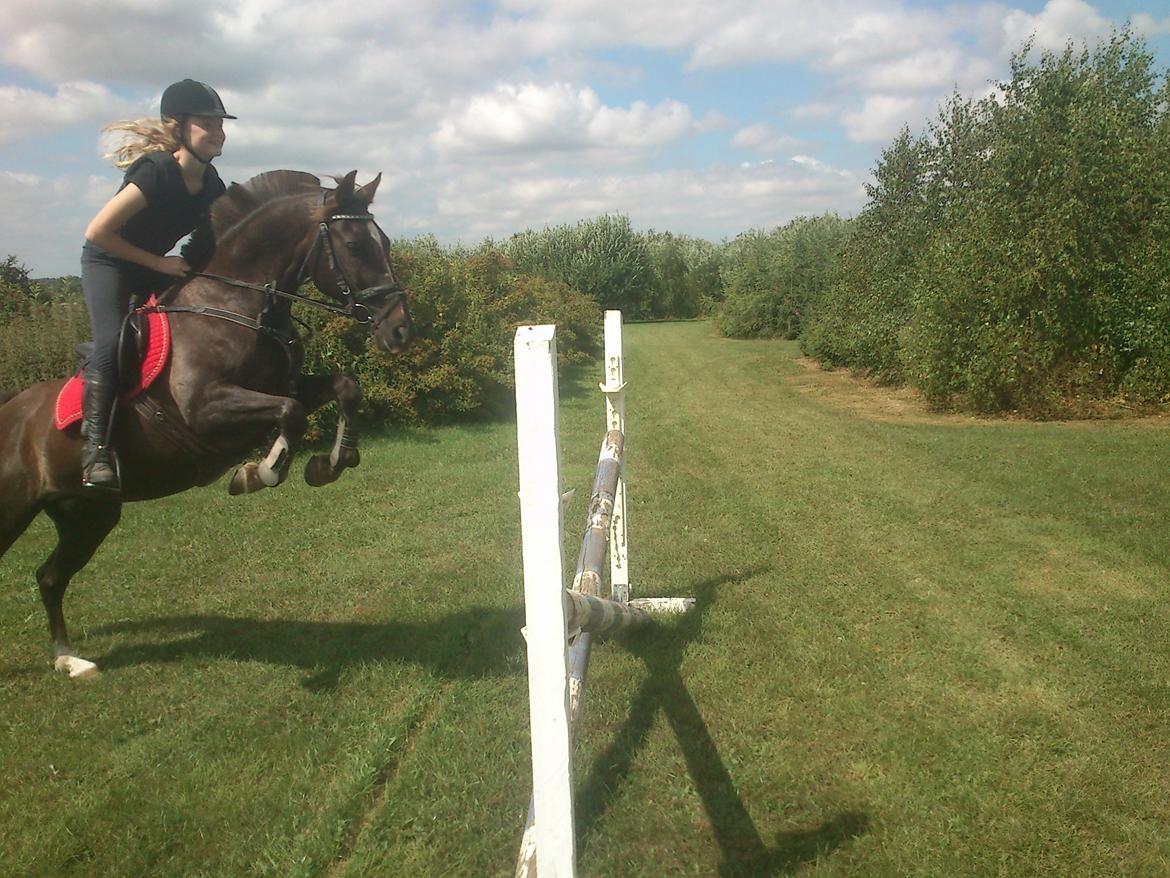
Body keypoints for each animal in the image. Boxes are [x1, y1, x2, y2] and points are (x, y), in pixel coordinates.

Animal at [0, 169, 411, 678]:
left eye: (385, 242)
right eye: (354, 245)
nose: (401, 330)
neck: (235, 303)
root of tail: (11, 410)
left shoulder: (288, 385)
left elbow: (344, 387)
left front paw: (329, 463)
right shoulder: (205, 409)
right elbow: (289, 413)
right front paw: (260, 472)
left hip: (87, 514)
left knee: (50, 577)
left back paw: (67, 659)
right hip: (17, 508)